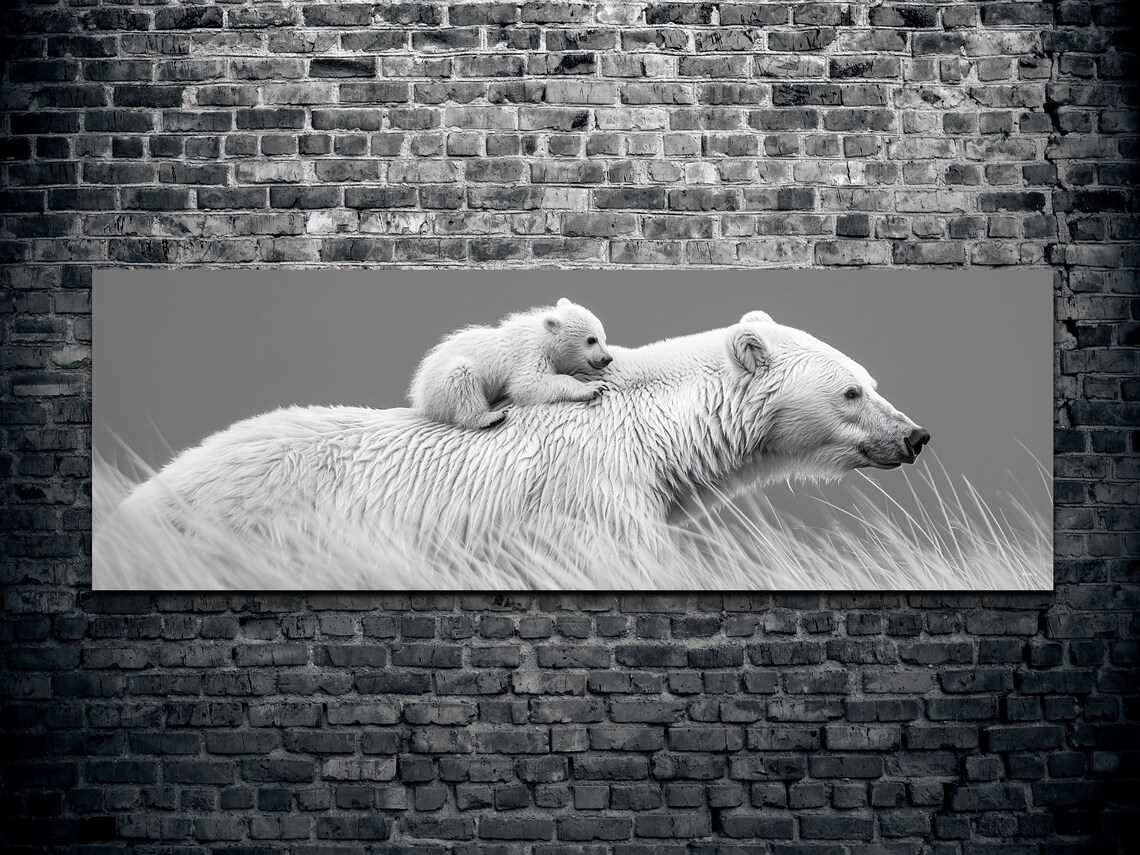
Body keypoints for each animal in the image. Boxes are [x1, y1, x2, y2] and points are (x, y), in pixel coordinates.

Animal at [408, 298, 613, 429]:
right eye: (591, 340)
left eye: (604, 337)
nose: (607, 358)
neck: (544, 337)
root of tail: (420, 396)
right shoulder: (531, 354)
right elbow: (527, 384)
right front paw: (592, 387)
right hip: (442, 383)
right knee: (462, 376)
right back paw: (490, 417)